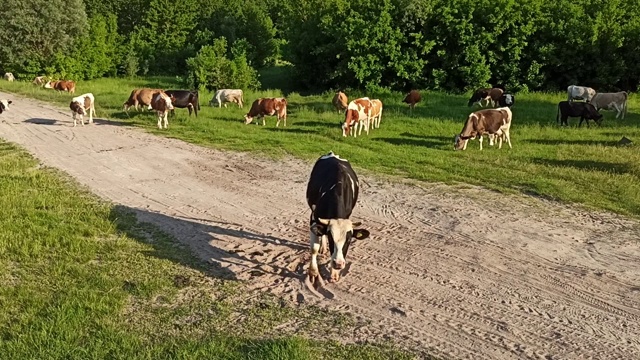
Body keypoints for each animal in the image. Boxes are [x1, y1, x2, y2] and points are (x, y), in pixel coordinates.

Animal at [304, 150, 370, 288]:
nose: (339, 264)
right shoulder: (313, 217)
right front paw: (313, 273)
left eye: (349, 239)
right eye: (331, 237)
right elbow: (314, 248)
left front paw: (334, 272)